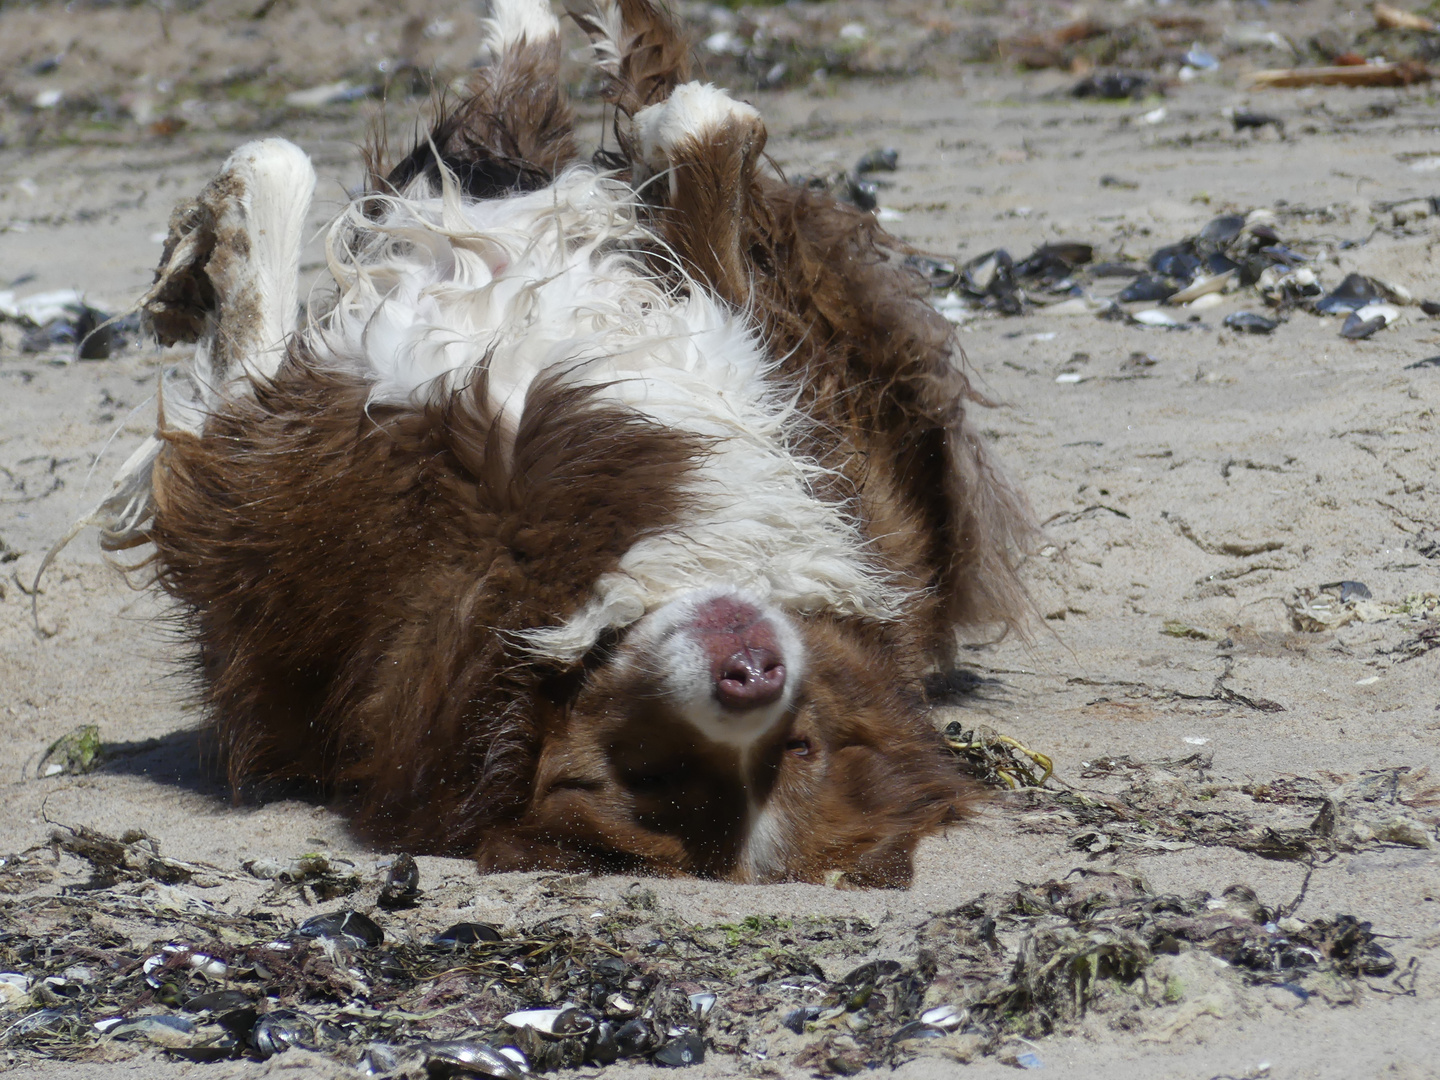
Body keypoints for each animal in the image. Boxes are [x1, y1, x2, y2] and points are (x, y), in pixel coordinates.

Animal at [84, 0, 1031, 887]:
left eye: (665, 777)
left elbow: (263, 243)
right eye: (802, 746)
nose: (752, 674)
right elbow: (707, 153)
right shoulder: (734, 349)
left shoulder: (272, 473)